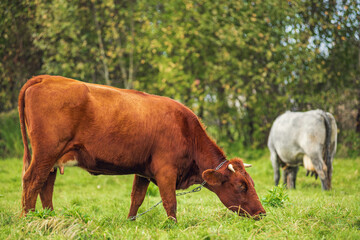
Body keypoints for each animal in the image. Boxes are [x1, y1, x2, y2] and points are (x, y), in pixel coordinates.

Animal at [19, 75, 266, 221]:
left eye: (252, 183)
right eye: (242, 186)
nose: (262, 213)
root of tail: (46, 78)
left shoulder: (143, 171)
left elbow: (136, 198)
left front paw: (130, 222)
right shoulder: (166, 171)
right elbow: (170, 202)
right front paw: (173, 226)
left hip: (52, 158)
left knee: (45, 186)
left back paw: (50, 218)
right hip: (45, 152)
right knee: (32, 181)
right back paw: (28, 219)